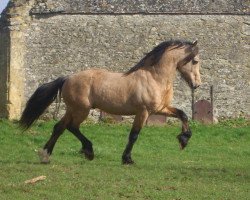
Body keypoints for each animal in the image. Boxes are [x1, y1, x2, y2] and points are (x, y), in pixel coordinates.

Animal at [20, 39, 202, 164]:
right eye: (195, 61)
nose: (197, 84)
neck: (155, 78)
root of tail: (67, 78)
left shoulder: (160, 109)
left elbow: (183, 114)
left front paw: (184, 139)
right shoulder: (143, 112)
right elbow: (134, 135)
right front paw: (127, 159)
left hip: (72, 109)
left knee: (59, 127)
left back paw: (45, 155)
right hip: (81, 110)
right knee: (72, 127)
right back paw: (88, 151)